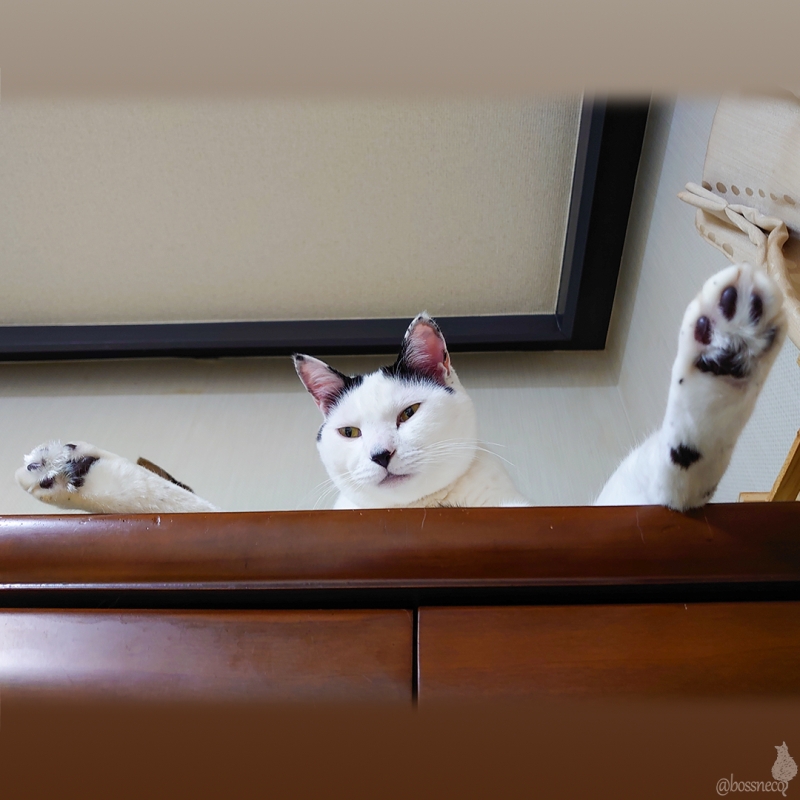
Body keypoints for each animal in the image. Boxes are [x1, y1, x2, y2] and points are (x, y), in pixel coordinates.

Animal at [16, 263, 786, 513]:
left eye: (410, 412)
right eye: (352, 431)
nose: (381, 454)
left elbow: (669, 473)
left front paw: (727, 349)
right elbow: (179, 502)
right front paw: (66, 465)